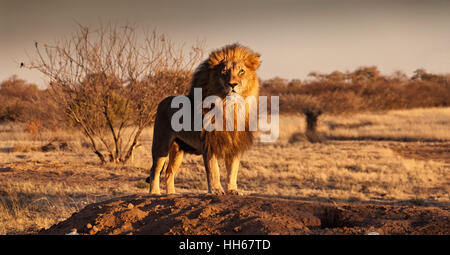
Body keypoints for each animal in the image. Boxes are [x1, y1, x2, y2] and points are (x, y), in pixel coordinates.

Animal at [146, 43, 262, 195]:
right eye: (224, 72)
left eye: (242, 71)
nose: (233, 84)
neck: (230, 107)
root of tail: (162, 101)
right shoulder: (209, 143)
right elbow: (214, 170)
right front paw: (216, 190)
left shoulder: (235, 145)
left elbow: (233, 170)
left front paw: (232, 190)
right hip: (161, 144)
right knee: (155, 170)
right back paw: (154, 193)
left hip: (178, 150)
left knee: (169, 172)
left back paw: (171, 194)